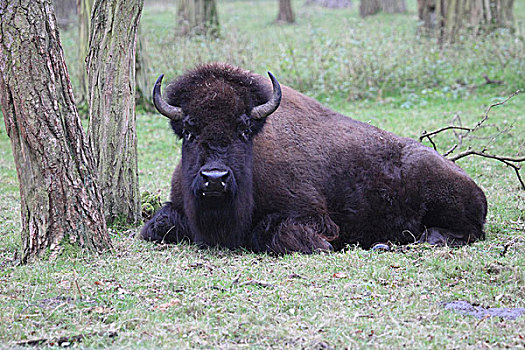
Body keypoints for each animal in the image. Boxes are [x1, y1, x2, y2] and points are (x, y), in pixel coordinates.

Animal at [140, 63, 488, 253]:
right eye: (188, 130)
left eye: (244, 129)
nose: (215, 179)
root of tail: (474, 186)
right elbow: (155, 226)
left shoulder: (312, 216)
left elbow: (272, 232)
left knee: (463, 232)